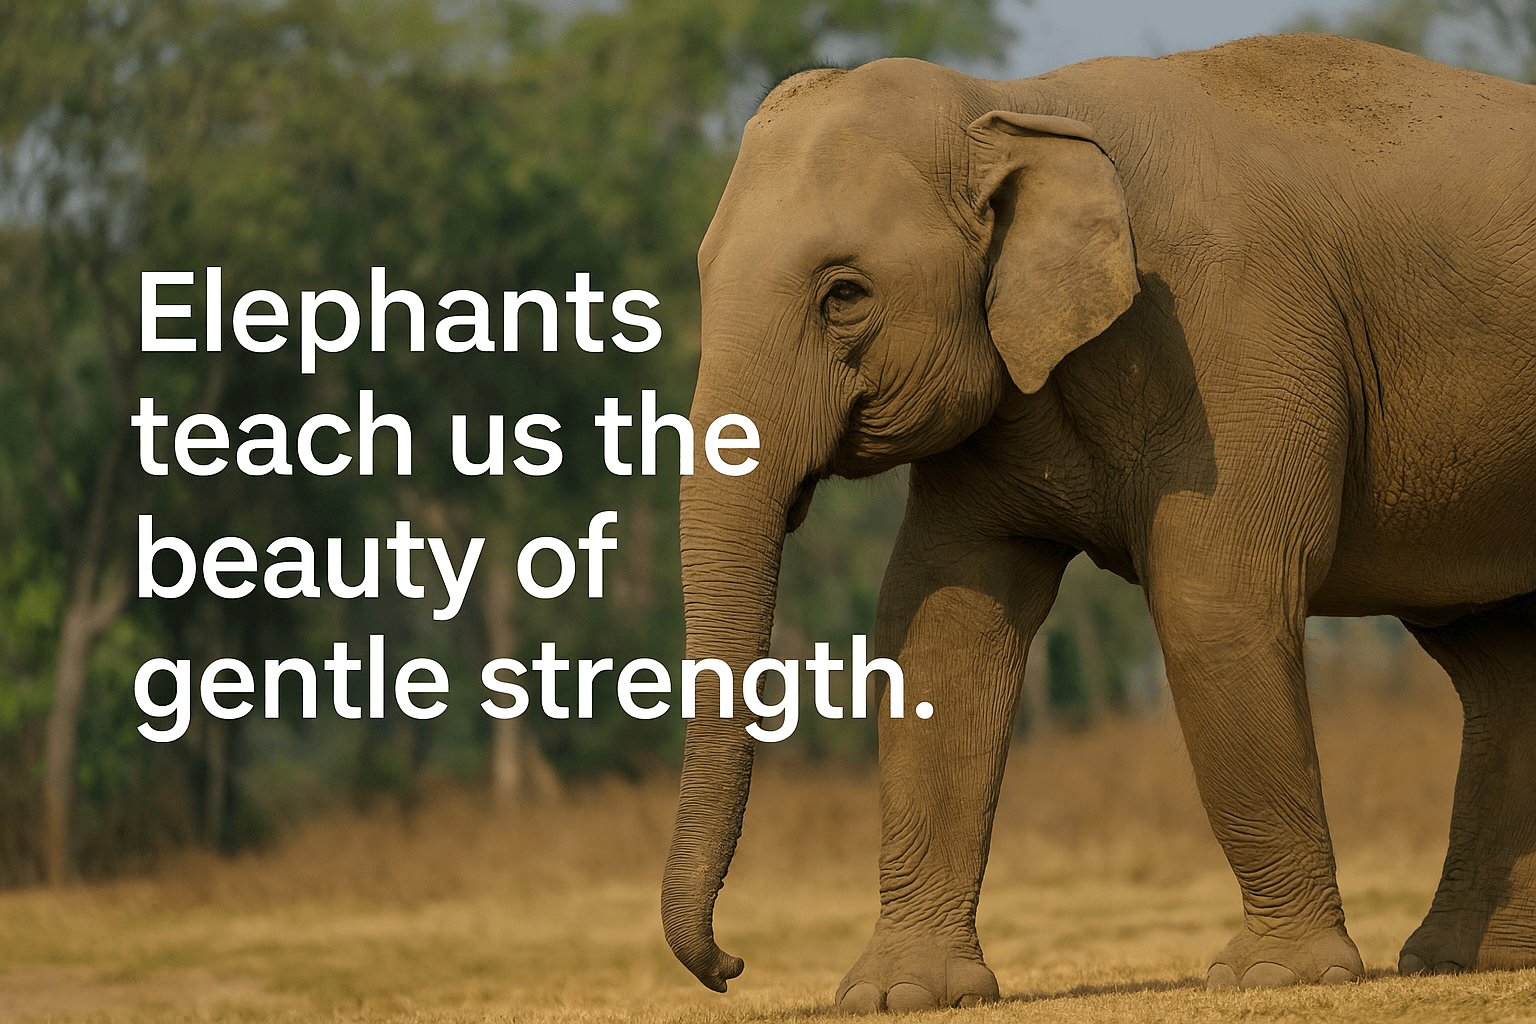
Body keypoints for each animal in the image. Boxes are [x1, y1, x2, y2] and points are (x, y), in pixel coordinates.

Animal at [661, 32, 1536, 1011]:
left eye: (844, 294)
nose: (731, 968)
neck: (1017, 104)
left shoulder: (1235, 333)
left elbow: (1215, 601)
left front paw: (1274, 977)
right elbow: (942, 628)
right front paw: (903, 996)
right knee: (1493, 656)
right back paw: (1468, 960)